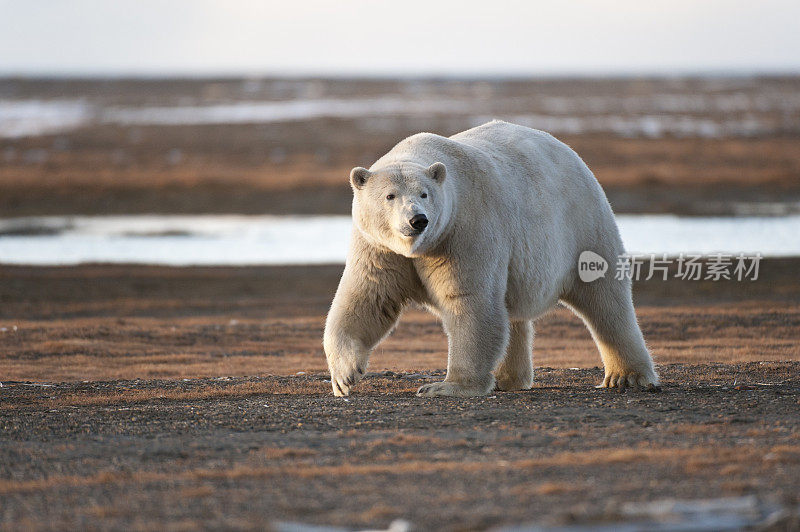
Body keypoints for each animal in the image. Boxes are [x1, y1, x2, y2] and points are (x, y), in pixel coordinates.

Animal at [322, 120, 660, 394]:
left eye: (424, 194)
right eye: (390, 196)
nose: (417, 220)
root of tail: (569, 152)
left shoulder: (464, 231)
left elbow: (469, 302)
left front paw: (446, 387)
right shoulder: (379, 248)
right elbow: (367, 298)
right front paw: (345, 376)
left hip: (582, 224)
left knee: (606, 300)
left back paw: (626, 376)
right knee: (512, 313)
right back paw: (508, 378)